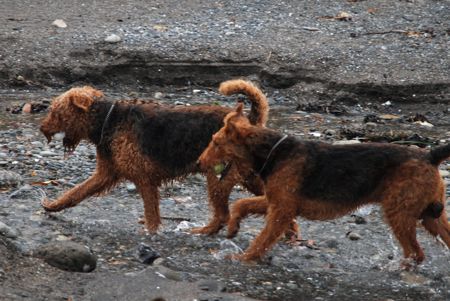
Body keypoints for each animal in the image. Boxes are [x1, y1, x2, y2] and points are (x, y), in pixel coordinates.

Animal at [38, 80, 268, 234]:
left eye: (57, 112)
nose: (42, 128)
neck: (107, 120)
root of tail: (251, 121)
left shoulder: (143, 178)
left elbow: (151, 212)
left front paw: (150, 231)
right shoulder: (106, 173)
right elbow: (76, 193)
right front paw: (52, 205)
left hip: (219, 178)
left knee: (223, 215)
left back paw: (201, 231)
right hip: (246, 176)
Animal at [199, 103, 450, 262]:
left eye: (216, 143)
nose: (200, 162)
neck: (273, 152)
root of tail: (430, 155)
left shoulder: (281, 211)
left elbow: (261, 240)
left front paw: (242, 257)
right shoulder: (275, 201)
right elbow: (240, 205)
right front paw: (233, 228)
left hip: (400, 214)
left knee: (415, 253)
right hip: (430, 216)